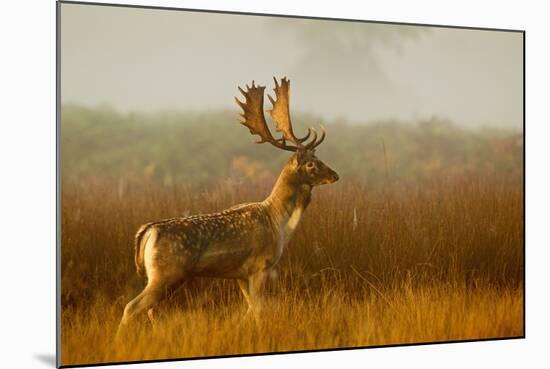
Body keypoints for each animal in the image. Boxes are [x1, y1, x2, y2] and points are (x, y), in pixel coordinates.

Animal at [117, 77, 340, 336]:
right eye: (312, 164)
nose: (335, 175)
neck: (279, 222)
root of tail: (148, 230)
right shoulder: (260, 266)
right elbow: (260, 309)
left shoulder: (240, 275)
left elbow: (250, 310)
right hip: (166, 273)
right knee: (132, 307)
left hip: (163, 277)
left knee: (151, 310)